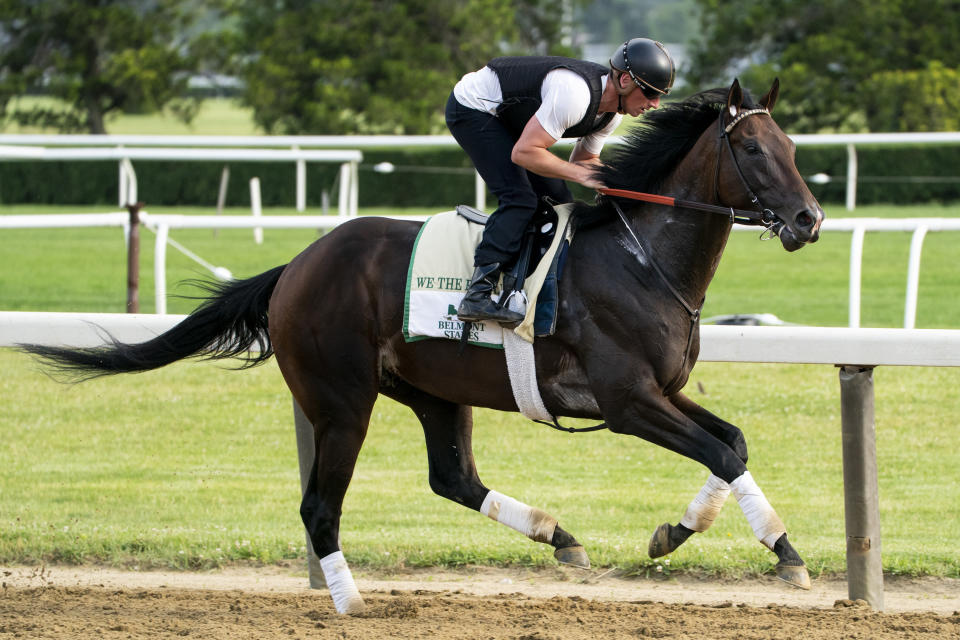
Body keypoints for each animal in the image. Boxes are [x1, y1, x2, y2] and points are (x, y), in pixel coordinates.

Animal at [22, 80, 820, 616]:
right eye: (753, 149)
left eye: (791, 148)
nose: (809, 220)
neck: (638, 258)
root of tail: (297, 265)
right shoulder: (627, 403)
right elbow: (721, 454)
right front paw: (785, 553)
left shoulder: (663, 390)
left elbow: (733, 444)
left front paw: (679, 534)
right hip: (341, 401)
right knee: (320, 507)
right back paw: (351, 603)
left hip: (434, 392)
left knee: (454, 478)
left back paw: (557, 534)